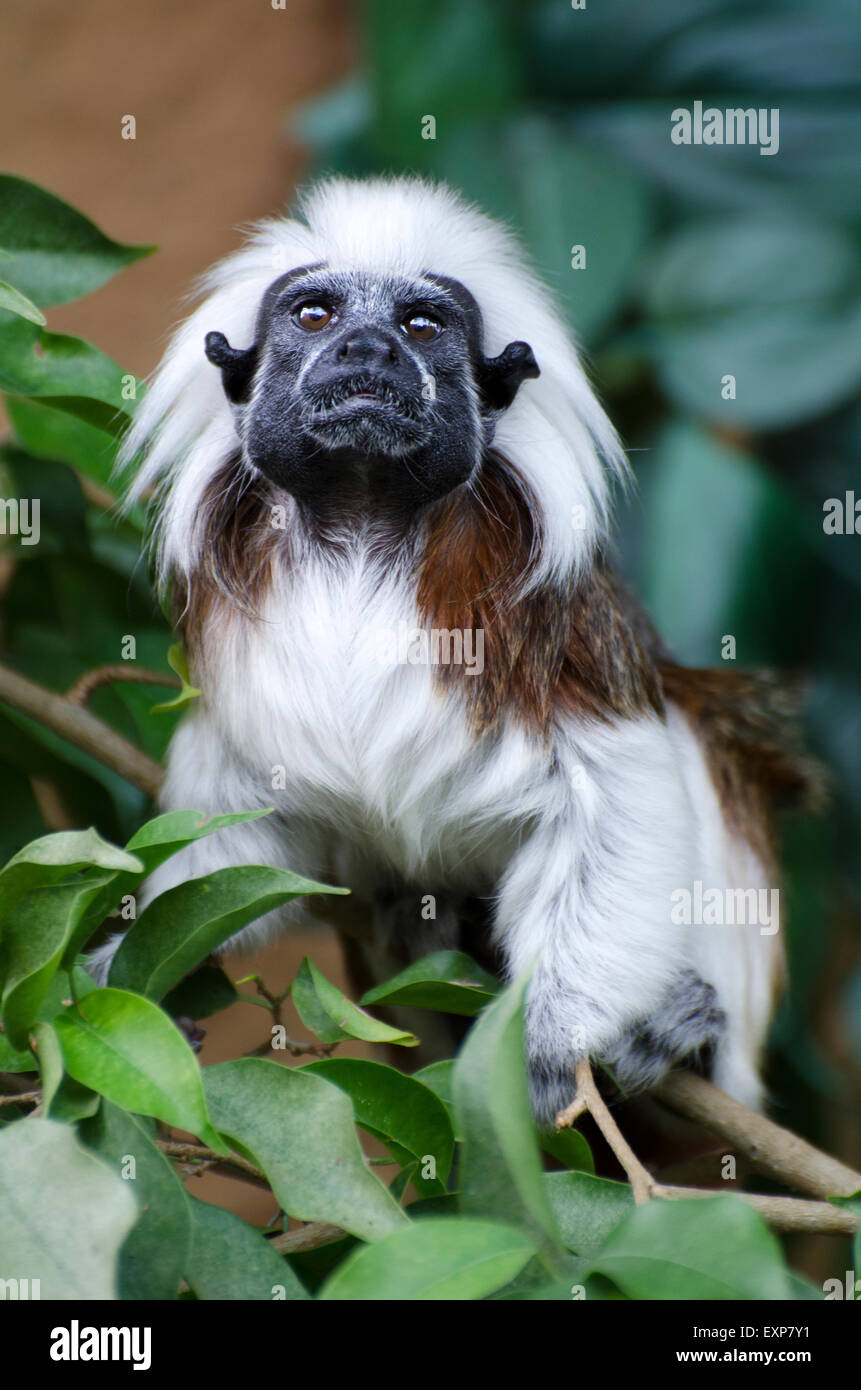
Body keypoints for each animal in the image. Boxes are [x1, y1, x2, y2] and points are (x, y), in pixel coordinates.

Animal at [91, 179, 817, 1123]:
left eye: (422, 324)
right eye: (316, 314)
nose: (368, 346)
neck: (363, 525)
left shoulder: (561, 622)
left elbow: (614, 788)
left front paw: (547, 1040)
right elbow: (247, 831)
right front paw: (140, 963)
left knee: (692, 727)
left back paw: (690, 1034)